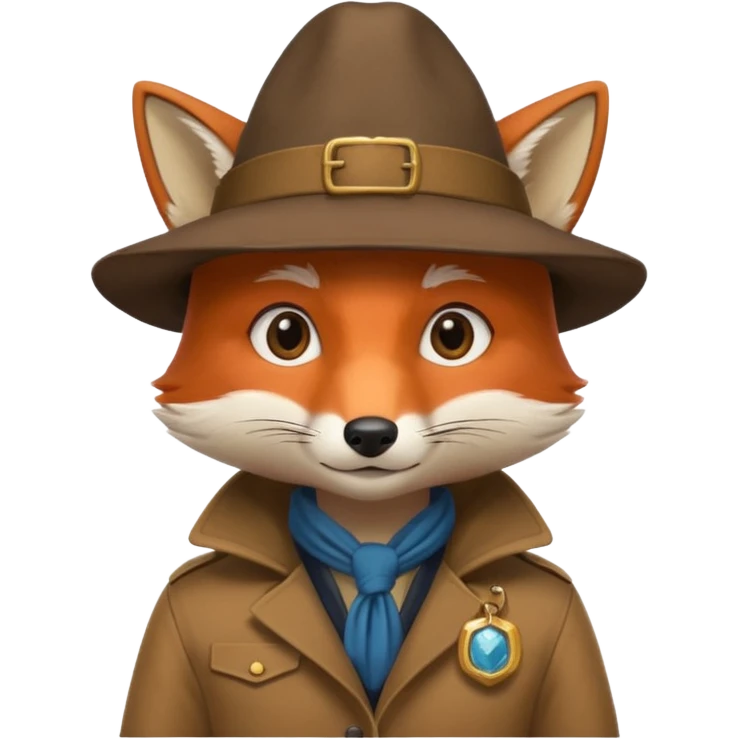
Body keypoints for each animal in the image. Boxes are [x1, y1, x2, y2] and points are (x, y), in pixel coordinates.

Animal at [94, 4, 644, 738]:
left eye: (453, 334)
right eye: (287, 334)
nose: (371, 433)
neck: (372, 537)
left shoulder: (572, 629)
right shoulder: (168, 627)